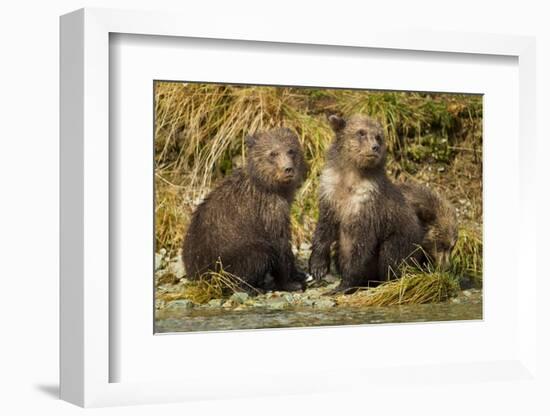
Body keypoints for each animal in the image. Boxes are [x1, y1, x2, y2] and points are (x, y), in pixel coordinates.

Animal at [182, 127, 308, 292]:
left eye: (291, 150)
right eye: (273, 153)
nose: (288, 169)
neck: (270, 186)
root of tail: (196, 277)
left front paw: (300, 274)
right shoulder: (268, 209)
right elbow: (279, 243)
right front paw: (291, 283)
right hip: (225, 258)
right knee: (258, 255)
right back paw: (250, 287)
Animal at [310, 112, 422, 290]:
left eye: (378, 137)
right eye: (361, 132)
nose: (374, 147)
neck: (350, 178)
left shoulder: (368, 205)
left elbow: (362, 245)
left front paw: (344, 284)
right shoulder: (331, 193)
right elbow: (324, 228)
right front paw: (317, 268)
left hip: (402, 237)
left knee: (391, 254)